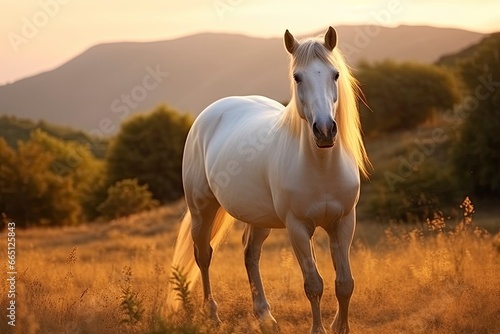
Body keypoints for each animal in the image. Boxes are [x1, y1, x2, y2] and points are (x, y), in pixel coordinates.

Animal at [168, 26, 372, 334]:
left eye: (335, 74)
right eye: (297, 77)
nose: (325, 130)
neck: (321, 167)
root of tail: (210, 113)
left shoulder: (344, 222)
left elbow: (345, 283)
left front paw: (341, 327)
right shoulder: (297, 227)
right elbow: (314, 285)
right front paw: (318, 329)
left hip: (259, 218)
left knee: (250, 254)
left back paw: (265, 316)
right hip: (202, 209)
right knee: (203, 255)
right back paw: (212, 315)